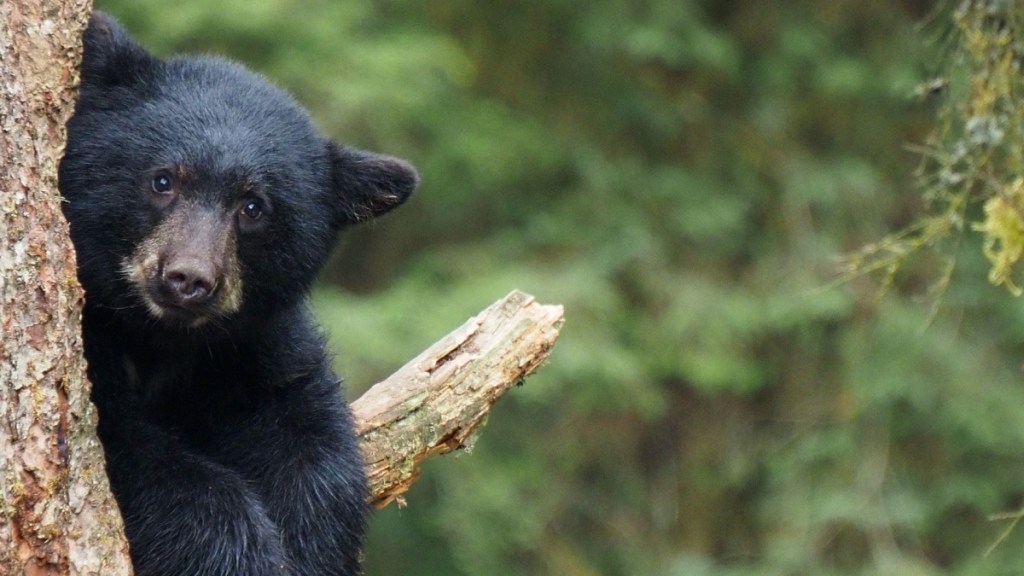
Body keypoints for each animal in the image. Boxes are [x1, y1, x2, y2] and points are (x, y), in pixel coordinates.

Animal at [58, 12, 417, 576]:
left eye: (253, 208)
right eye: (163, 180)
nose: (188, 280)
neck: (161, 339)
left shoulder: (254, 346)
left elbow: (309, 439)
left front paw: (315, 548)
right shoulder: (92, 342)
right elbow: (142, 458)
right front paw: (241, 553)